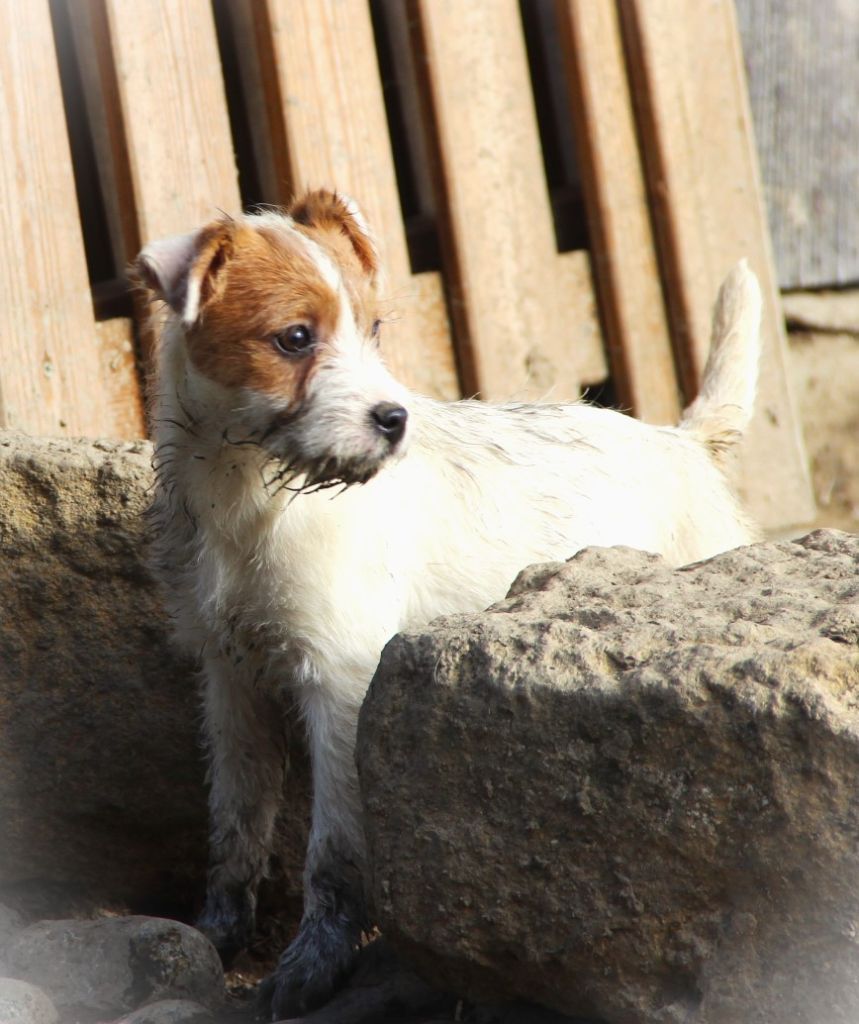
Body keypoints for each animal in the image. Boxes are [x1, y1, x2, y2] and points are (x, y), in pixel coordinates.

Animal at [138, 190, 761, 1015]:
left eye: (372, 329)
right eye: (294, 338)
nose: (392, 419)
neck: (247, 493)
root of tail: (679, 442)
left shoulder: (339, 685)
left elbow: (331, 855)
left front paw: (310, 966)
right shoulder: (230, 680)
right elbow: (235, 824)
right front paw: (217, 933)